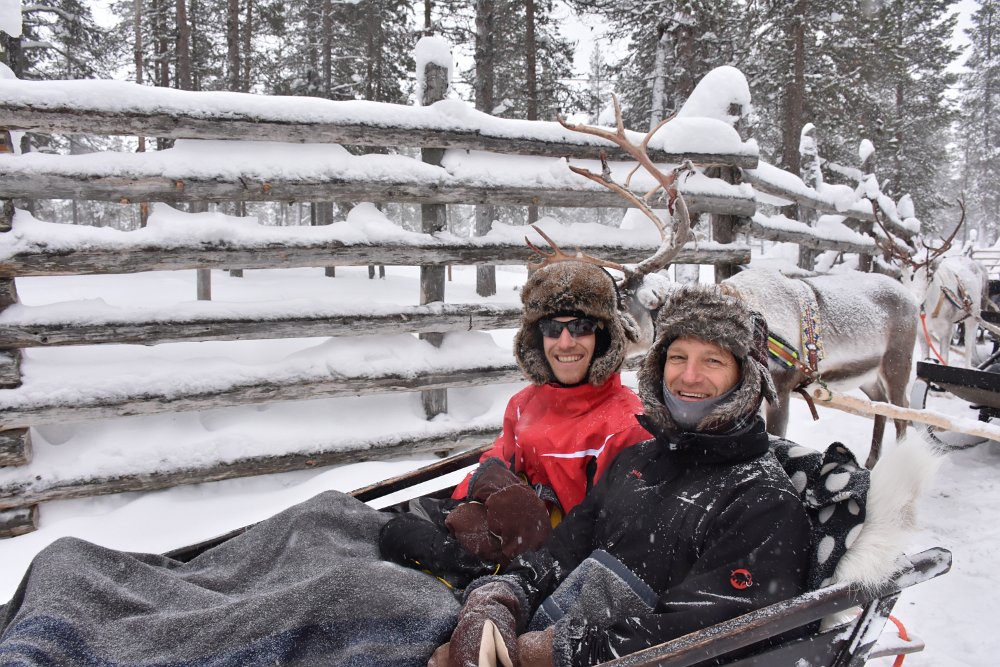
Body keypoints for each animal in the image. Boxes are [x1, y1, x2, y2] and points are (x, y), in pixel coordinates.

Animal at [540, 97, 920, 469]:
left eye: (621, 307)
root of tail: (911, 298)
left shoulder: (781, 387)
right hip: (868, 377)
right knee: (882, 410)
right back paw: (871, 461)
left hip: (898, 363)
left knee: (903, 415)